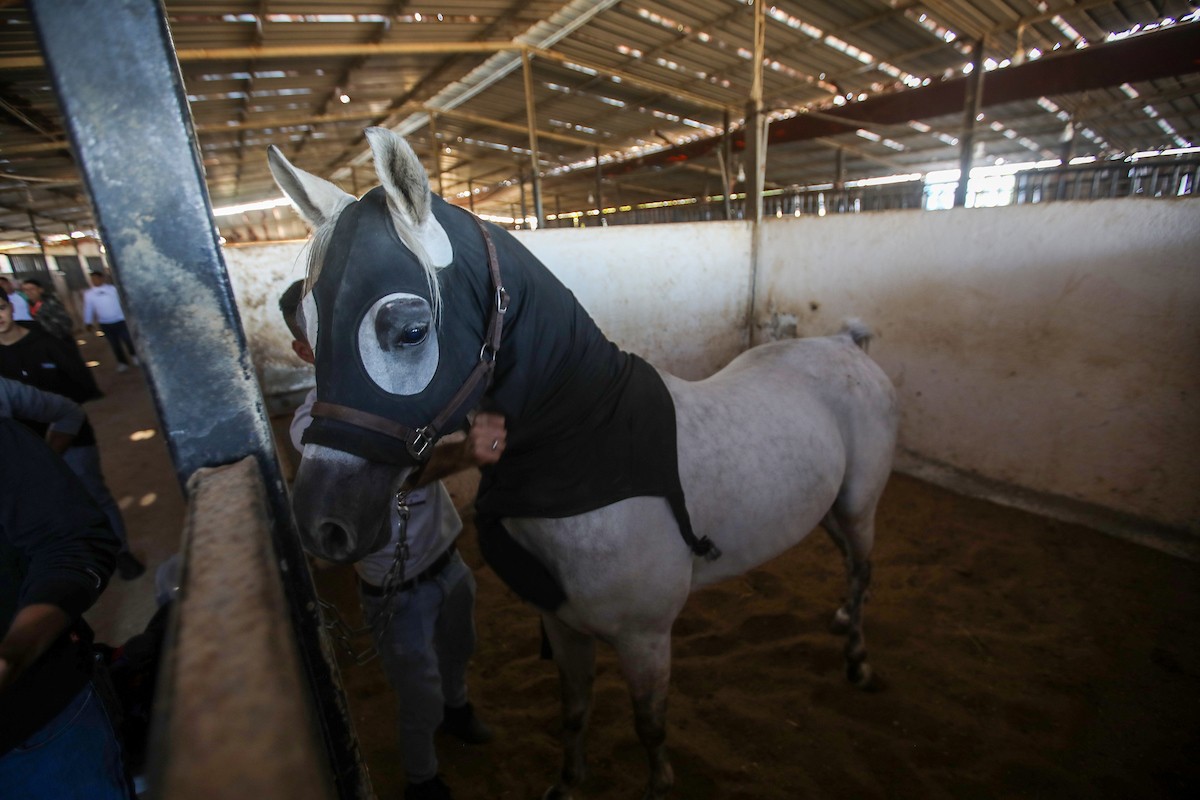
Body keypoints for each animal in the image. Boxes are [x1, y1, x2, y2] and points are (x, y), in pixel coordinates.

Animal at [267, 128, 897, 796]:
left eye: (410, 331)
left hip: (860, 505)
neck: (589, 447)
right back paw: (840, 621)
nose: (322, 523)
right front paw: (568, 782)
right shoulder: (562, 625)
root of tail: (846, 345)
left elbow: (650, 726)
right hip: (827, 507)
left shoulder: (646, 638)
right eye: (308, 325)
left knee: (863, 568)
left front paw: (658, 783)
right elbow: (574, 710)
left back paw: (858, 660)